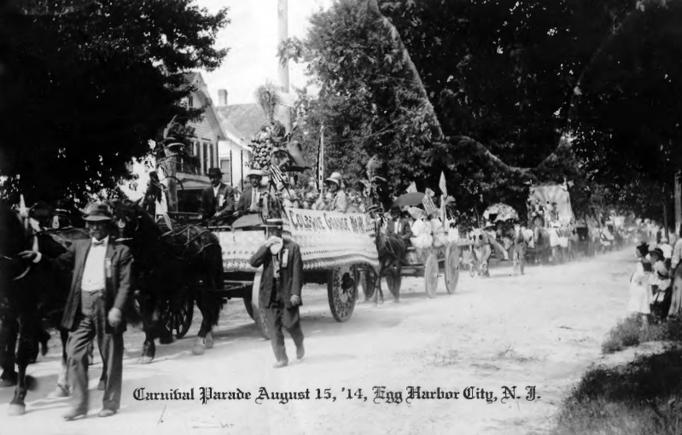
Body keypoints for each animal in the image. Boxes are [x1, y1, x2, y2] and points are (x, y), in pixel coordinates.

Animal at [107, 201, 222, 362]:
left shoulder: (156, 293)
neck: (153, 253)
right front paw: (152, 344)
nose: (120, 248)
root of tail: (209, 235)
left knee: (209, 307)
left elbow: (154, 319)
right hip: (194, 286)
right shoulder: (141, 293)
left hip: (204, 284)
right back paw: (207, 338)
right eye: (114, 220)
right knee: (208, 309)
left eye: (131, 220)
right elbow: (146, 321)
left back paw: (200, 342)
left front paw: (152, 347)